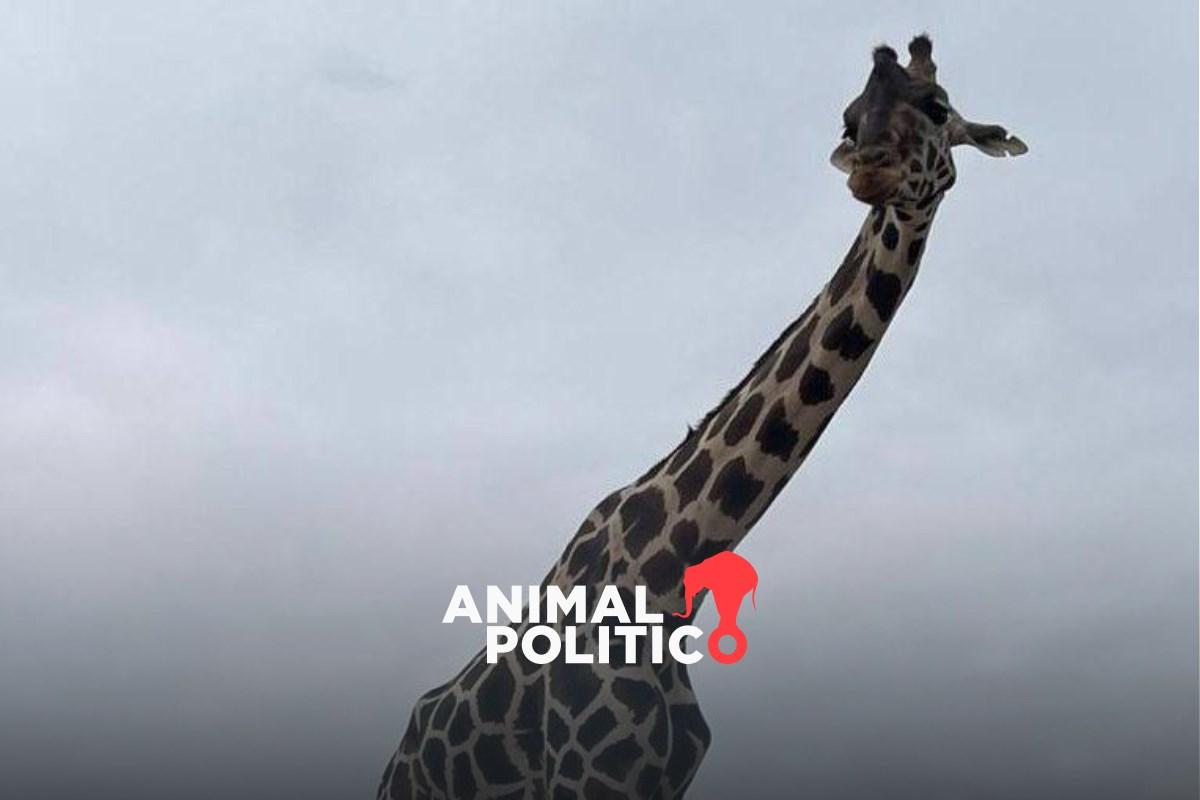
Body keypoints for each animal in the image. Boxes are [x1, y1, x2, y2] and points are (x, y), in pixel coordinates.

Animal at [379, 35, 1026, 800]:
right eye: (848, 118)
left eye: (935, 106)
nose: (871, 169)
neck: (670, 574)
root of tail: (400, 751)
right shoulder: (587, 774)